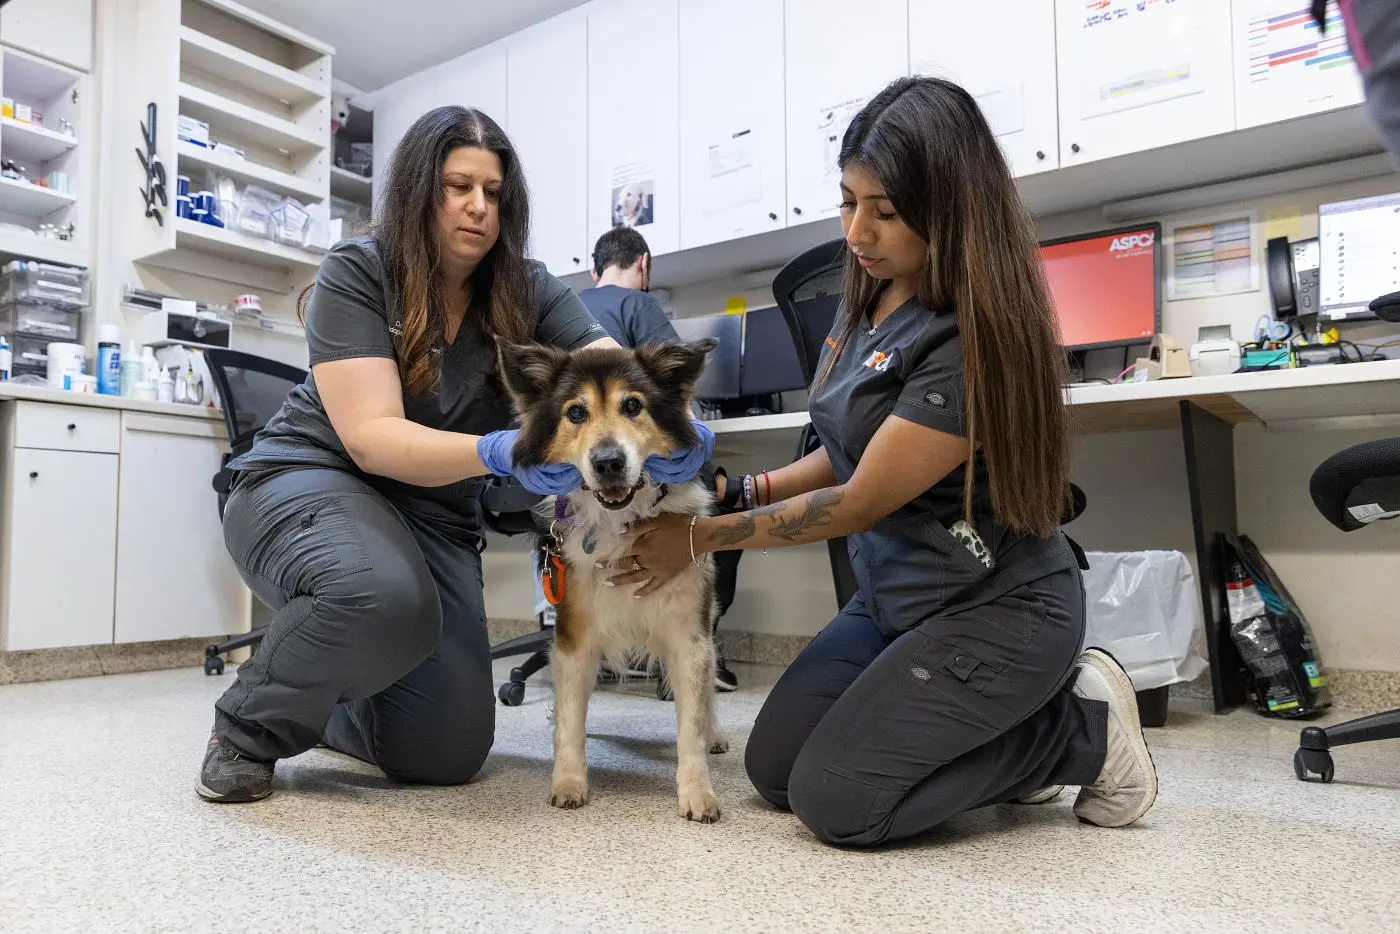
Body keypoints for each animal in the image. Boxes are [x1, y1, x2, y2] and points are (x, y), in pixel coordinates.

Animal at [498, 340, 728, 823]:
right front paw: (568, 783)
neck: (620, 520)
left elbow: (691, 724)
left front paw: (698, 792)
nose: (608, 463)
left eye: (633, 405)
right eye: (575, 412)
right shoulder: (572, 636)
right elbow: (571, 718)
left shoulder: (689, 635)